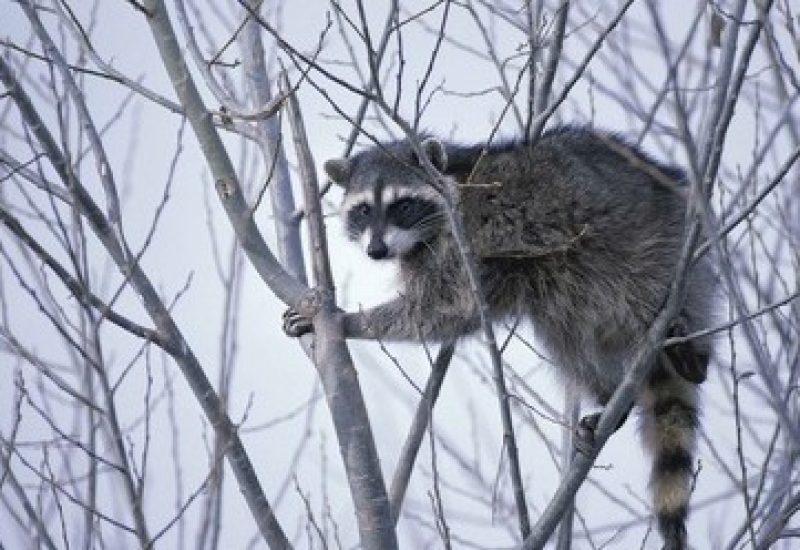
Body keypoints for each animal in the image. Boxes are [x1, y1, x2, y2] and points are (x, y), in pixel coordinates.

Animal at [284, 126, 716, 550]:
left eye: (401, 205)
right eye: (363, 210)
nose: (376, 250)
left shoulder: (467, 239)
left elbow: (443, 309)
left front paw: (350, 321)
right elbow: (450, 313)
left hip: (656, 250)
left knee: (642, 292)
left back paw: (692, 356)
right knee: (564, 333)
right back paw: (608, 395)